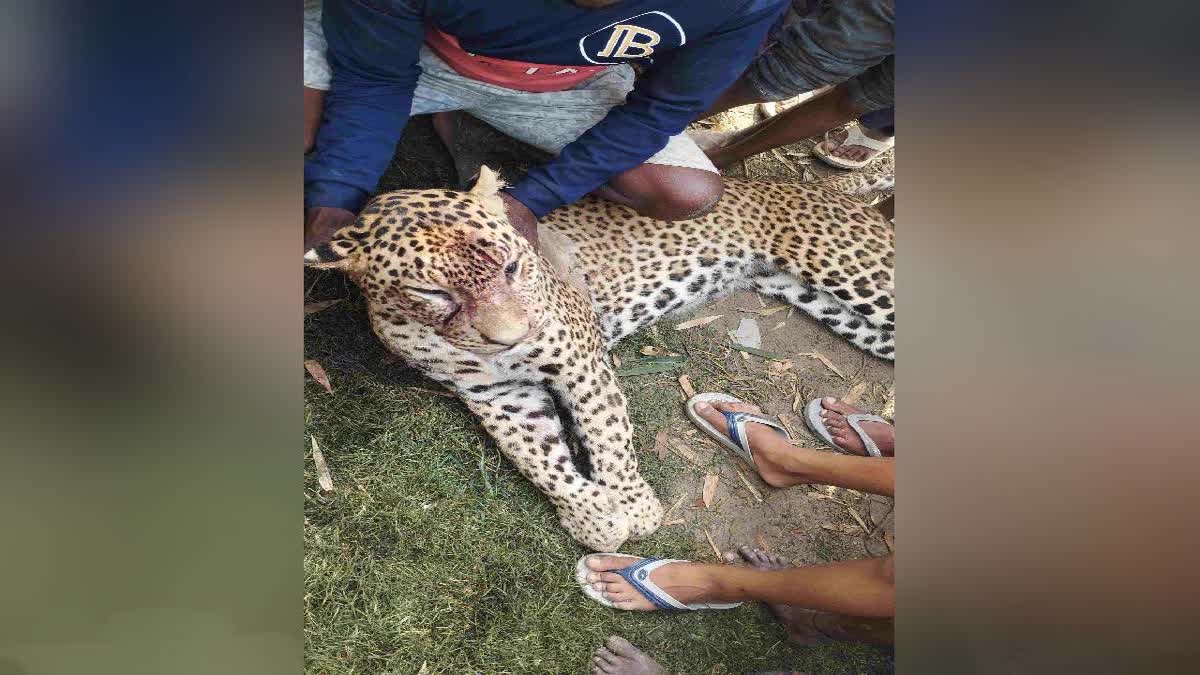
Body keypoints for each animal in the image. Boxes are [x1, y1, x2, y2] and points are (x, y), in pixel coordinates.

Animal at [304, 166, 894, 551]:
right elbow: (537, 456)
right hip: (835, 307)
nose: (511, 338)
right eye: (432, 293)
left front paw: (634, 506)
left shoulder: (579, 359)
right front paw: (593, 516)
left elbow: (607, 434)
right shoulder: (498, 393)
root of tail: (823, 190)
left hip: (860, 276)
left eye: (512, 267)